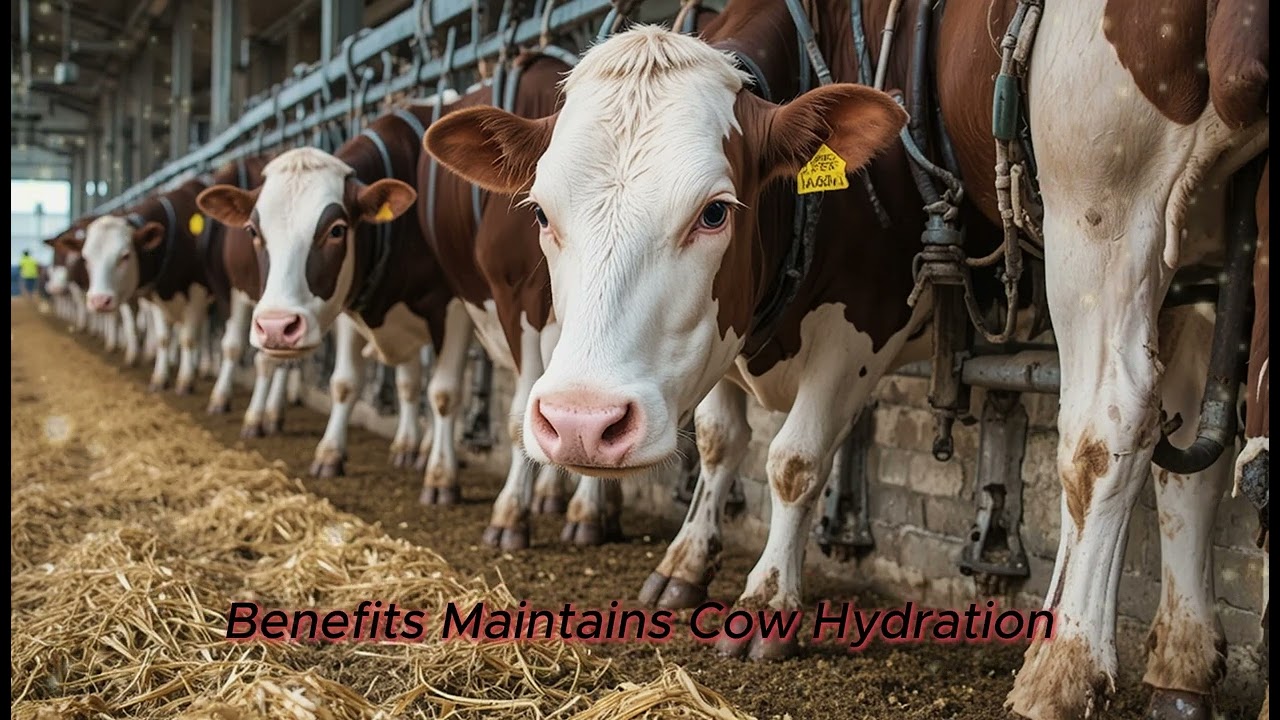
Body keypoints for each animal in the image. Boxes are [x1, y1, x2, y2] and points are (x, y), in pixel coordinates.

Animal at [195, 103, 475, 498]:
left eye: (337, 230)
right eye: (253, 231)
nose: (276, 326)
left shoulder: (457, 306)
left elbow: (445, 392)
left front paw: (441, 477)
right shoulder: (347, 306)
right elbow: (344, 382)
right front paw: (329, 454)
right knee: (408, 380)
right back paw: (408, 447)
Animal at [424, 2, 1268, 717]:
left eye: (715, 212)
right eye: (540, 212)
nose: (580, 422)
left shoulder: (865, 318)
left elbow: (794, 460)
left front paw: (766, 604)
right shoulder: (725, 329)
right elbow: (720, 441)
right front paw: (685, 564)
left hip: (1103, 204)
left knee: (1108, 428)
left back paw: (1062, 669)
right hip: (1191, 247)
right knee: (1178, 449)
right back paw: (1182, 665)